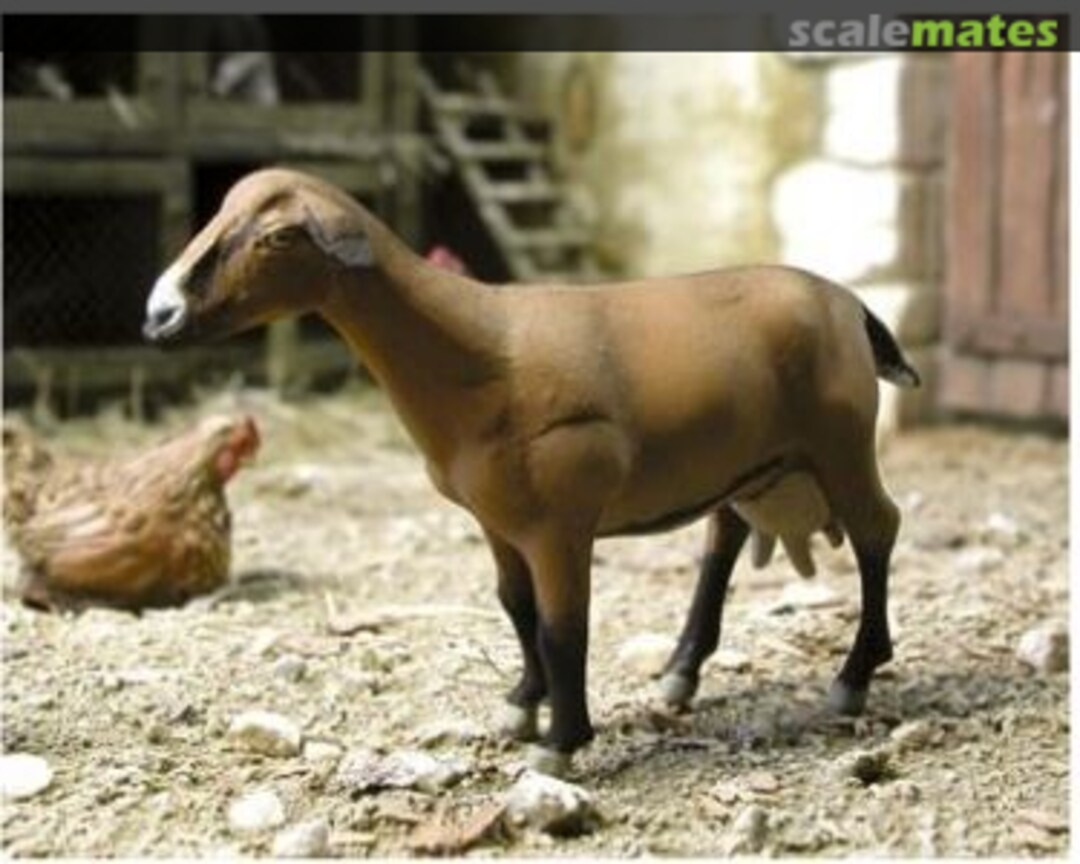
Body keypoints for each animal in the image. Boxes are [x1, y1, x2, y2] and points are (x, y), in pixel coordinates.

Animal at [144, 168, 919, 776]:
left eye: (277, 237)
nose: (160, 315)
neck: (481, 354)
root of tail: (848, 303)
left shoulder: (559, 525)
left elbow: (562, 626)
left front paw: (560, 742)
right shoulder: (497, 522)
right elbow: (515, 607)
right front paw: (522, 705)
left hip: (843, 445)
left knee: (879, 530)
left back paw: (852, 678)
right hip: (744, 464)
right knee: (722, 541)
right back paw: (679, 673)